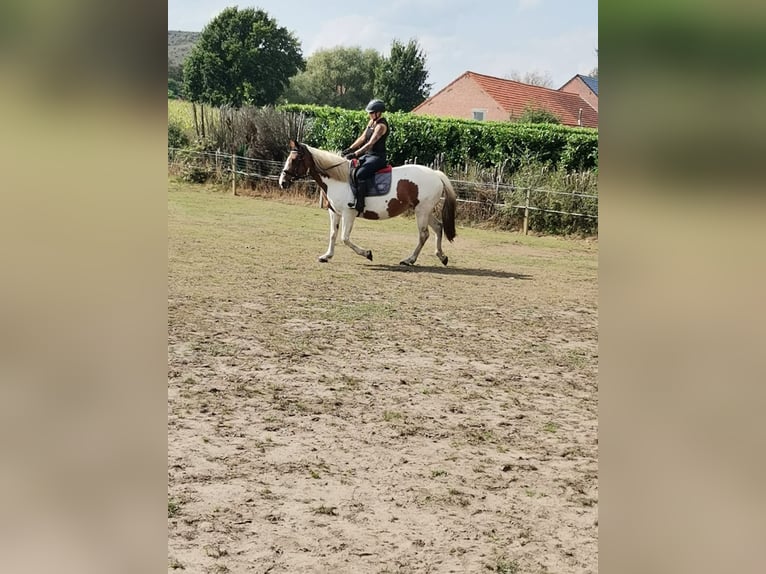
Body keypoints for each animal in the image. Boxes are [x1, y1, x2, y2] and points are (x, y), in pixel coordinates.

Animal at [278, 141, 456, 266]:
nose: (282, 182)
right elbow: (333, 234)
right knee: (438, 227)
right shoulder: (334, 212)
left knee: (424, 234)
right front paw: (327, 256)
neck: (338, 179)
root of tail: (435, 174)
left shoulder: (349, 213)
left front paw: (367, 254)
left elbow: (344, 238)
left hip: (421, 211)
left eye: (295, 159)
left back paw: (409, 260)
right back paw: (442, 257)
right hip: (424, 211)